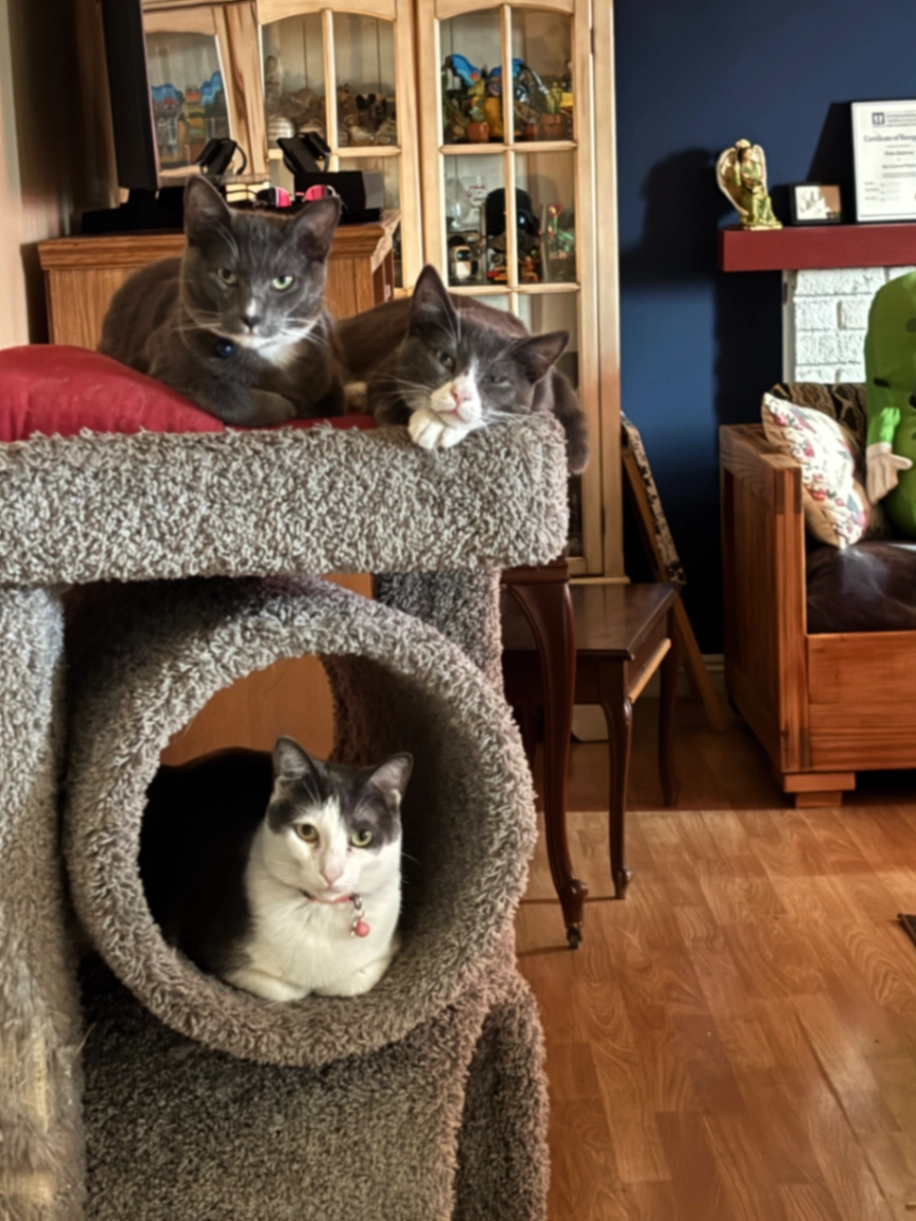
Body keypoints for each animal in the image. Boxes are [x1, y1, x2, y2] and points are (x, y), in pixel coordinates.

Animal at [99, 176, 346, 426]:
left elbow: (332, 399)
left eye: (283, 281)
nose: (251, 317)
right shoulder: (165, 364)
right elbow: (220, 391)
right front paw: (284, 407)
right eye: (226, 275)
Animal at [139, 737, 412, 1002]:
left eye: (362, 836)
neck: (321, 912)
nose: (331, 872)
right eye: (306, 831)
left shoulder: (387, 948)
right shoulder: (217, 952)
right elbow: (286, 990)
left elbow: (353, 981)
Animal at [335, 263, 589, 472]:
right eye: (444, 358)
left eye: (495, 379)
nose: (460, 395)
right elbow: (387, 403)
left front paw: (436, 425)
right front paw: (433, 422)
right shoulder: (389, 366)